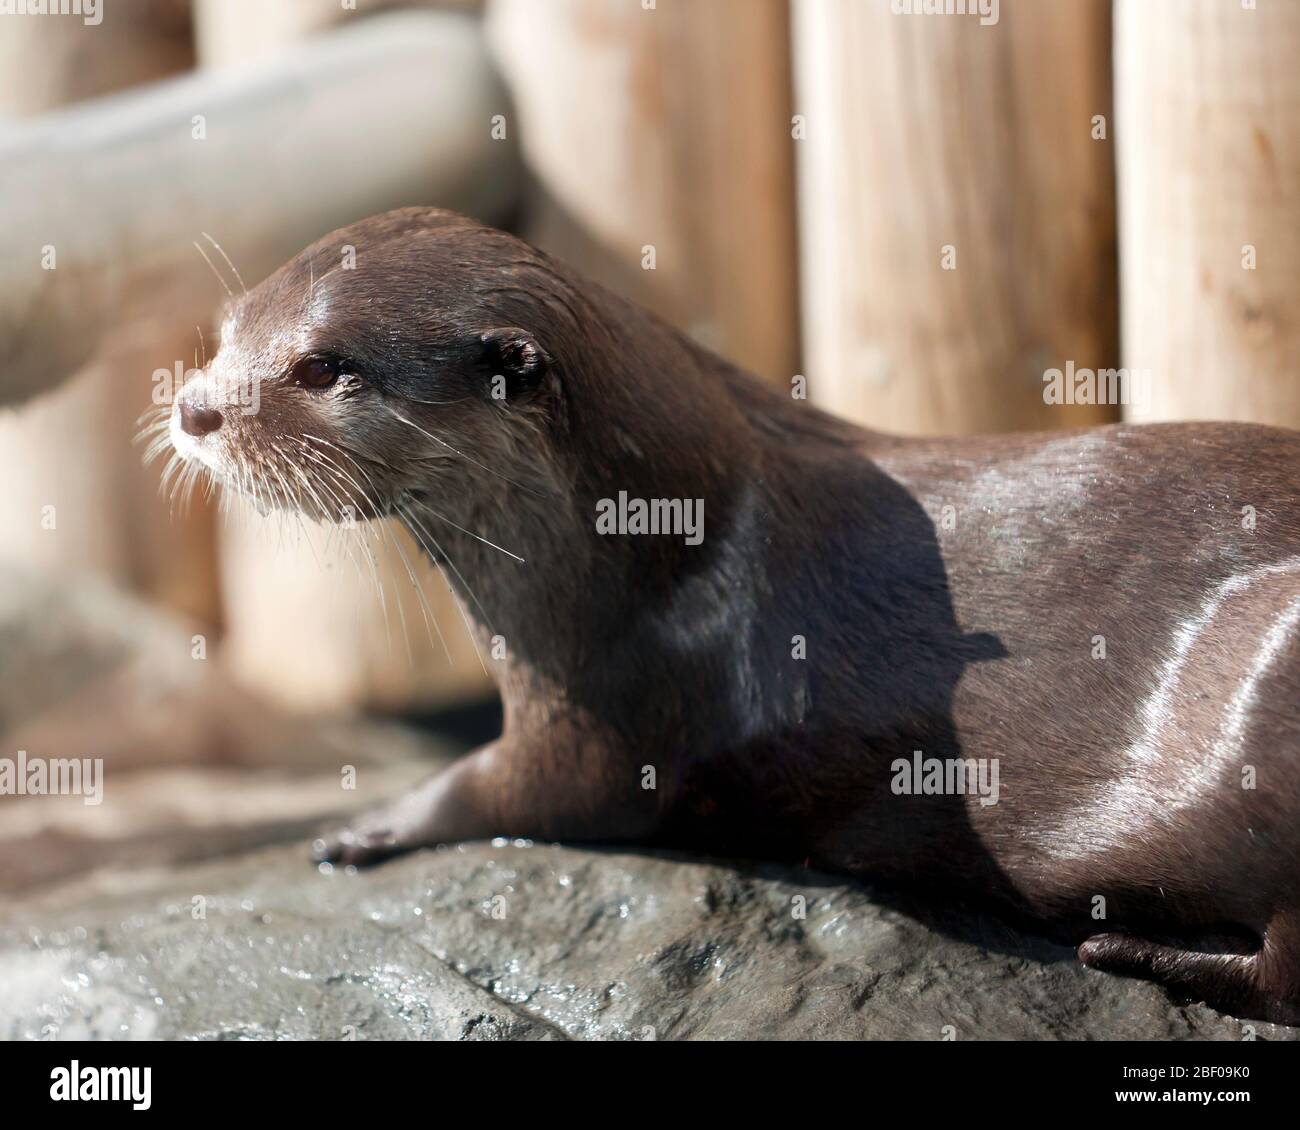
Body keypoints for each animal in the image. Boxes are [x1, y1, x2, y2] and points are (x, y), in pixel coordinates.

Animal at [167, 205, 1300, 1024]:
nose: (194, 405)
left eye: (323, 366)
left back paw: (1136, 949)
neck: (643, 542)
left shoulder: (606, 709)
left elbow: (517, 790)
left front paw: (364, 822)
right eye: (225, 329)